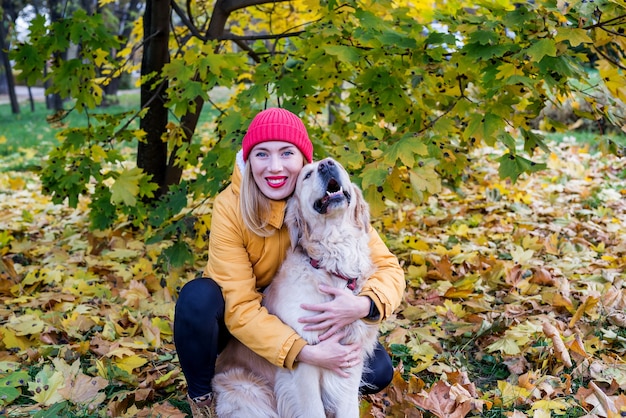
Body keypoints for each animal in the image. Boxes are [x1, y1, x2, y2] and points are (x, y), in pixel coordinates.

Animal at [211, 158, 376, 418]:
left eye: (337, 165)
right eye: (307, 175)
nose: (327, 164)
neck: (330, 262)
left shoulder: (350, 359)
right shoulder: (305, 364)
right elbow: (313, 410)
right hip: (248, 394)